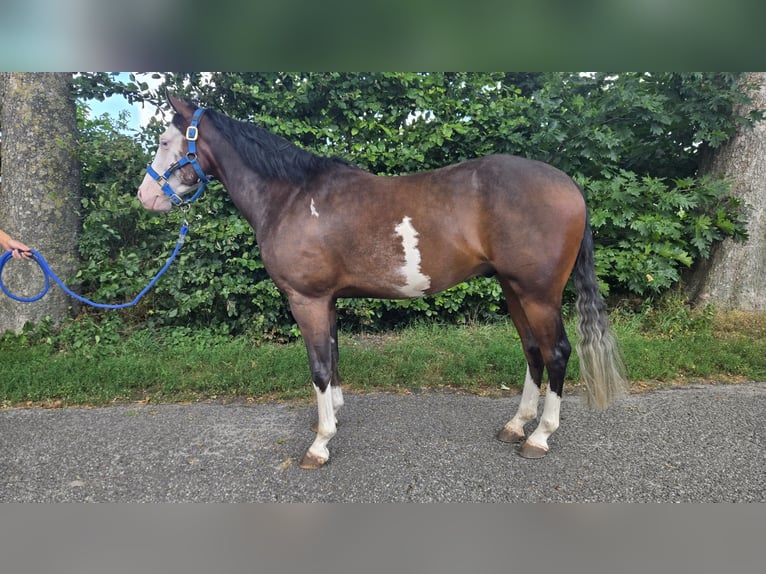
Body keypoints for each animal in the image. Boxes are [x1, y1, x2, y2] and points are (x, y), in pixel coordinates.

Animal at [137, 95, 629, 470]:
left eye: (164, 141)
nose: (145, 197)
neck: (292, 196)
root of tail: (570, 185)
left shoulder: (306, 299)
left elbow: (318, 366)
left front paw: (319, 444)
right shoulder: (327, 300)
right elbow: (333, 357)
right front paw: (334, 416)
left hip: (539, 293)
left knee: (557, 352)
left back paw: (540, 436)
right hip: (514, 289)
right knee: (533, 351)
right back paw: (515, 426)